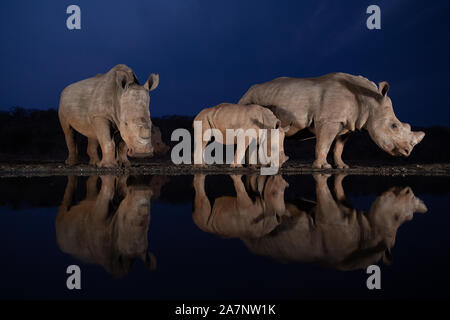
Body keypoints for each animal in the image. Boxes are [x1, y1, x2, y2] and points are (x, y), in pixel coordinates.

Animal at [239, 72, 426, 168]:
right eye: (394, 126)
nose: (407, 152)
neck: (369, 101)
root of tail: (247, 90)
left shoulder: (348, 125)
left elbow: (338, 147)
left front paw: (342, 167)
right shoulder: (329, 120)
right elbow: (324, 144)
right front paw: (323, 167)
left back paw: (255, 166)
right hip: (249, 101)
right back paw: (254, 167)